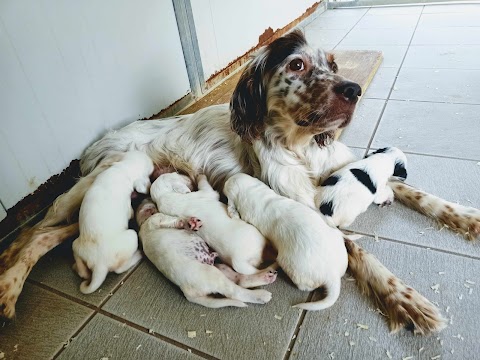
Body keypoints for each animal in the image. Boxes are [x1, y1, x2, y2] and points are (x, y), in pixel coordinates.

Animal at [71, 150, 153, 294]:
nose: (153, 162)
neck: (122, 168)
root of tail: (99, 265)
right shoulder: (128, 207)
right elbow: (131, 212)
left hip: (76, 246)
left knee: (82, 270)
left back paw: (78, 268)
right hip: (131, 236)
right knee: (119, 269)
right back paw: (138, 255)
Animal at [137, 198, 276, 308]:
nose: (143, 197)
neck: (143, 224)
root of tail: (188, 294)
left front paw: (191, 223)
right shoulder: (157, 220)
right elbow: (173, 221)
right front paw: (186, 222)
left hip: (220, 267)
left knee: (240, 281)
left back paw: (267, 277)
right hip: (212, 274)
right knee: (235, 292)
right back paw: (261, 295)